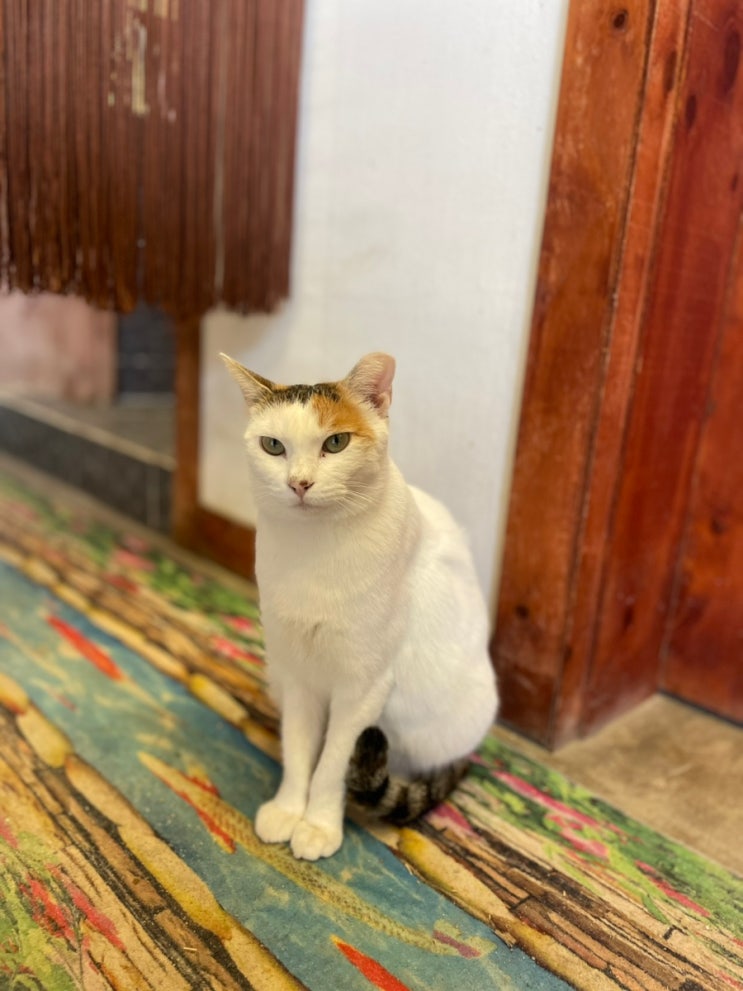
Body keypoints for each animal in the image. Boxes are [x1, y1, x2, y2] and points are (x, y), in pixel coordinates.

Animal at [222, 351, 498, 860]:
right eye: (273, 446)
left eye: (336, 443)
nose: (299, 483)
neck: (314, 552)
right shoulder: (299, 675)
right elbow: (299, 751)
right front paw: (289, 809)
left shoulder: (364, 685)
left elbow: (333, 763)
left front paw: (318, 824)